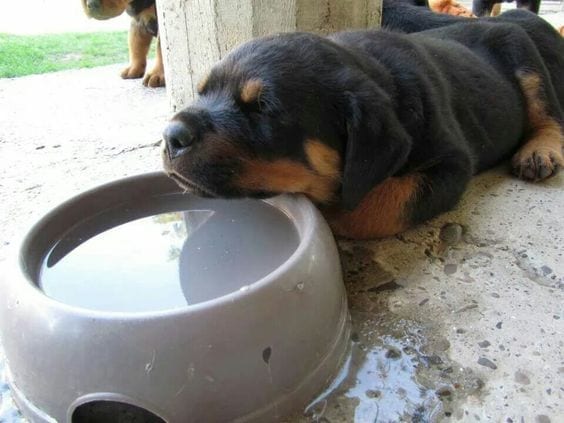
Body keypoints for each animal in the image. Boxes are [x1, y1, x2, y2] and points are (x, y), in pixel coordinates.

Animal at [161, 7, 560, 238]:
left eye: (263, 108)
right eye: (201, 92)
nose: (171, 136)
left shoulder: (451, 164)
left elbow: (372, 204)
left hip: (522, 53)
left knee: (549, 113)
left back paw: (539, 151)